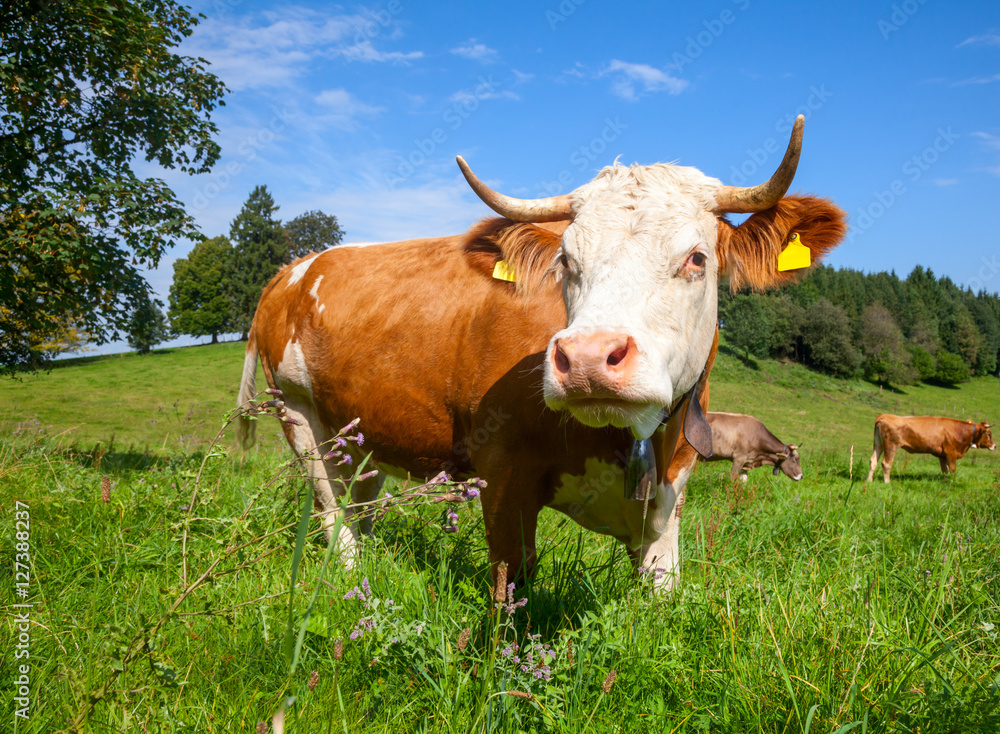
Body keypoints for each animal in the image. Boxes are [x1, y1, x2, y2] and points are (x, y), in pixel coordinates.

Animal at [238, 118, 848, 596]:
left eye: (697, 258)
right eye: (565, 262)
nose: (587, 358)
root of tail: (294, 269)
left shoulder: (672, 492)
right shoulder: (503, 474)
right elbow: (512, 592)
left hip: (362, 436)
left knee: (360, 507)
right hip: (300, 418)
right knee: (334, 519)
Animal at [864, 414, 996, 484]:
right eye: (989, 434)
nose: (994, 446)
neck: (960, 431)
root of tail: (885, 416)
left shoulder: (943, 455)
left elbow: (945, 470)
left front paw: (945, 481)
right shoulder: (951, 453)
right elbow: (953, 469)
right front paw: (953, 481)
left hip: (878, 444)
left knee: (873, 461)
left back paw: (869, 480)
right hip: (891, 446)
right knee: (886, 463)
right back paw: (887, 482)